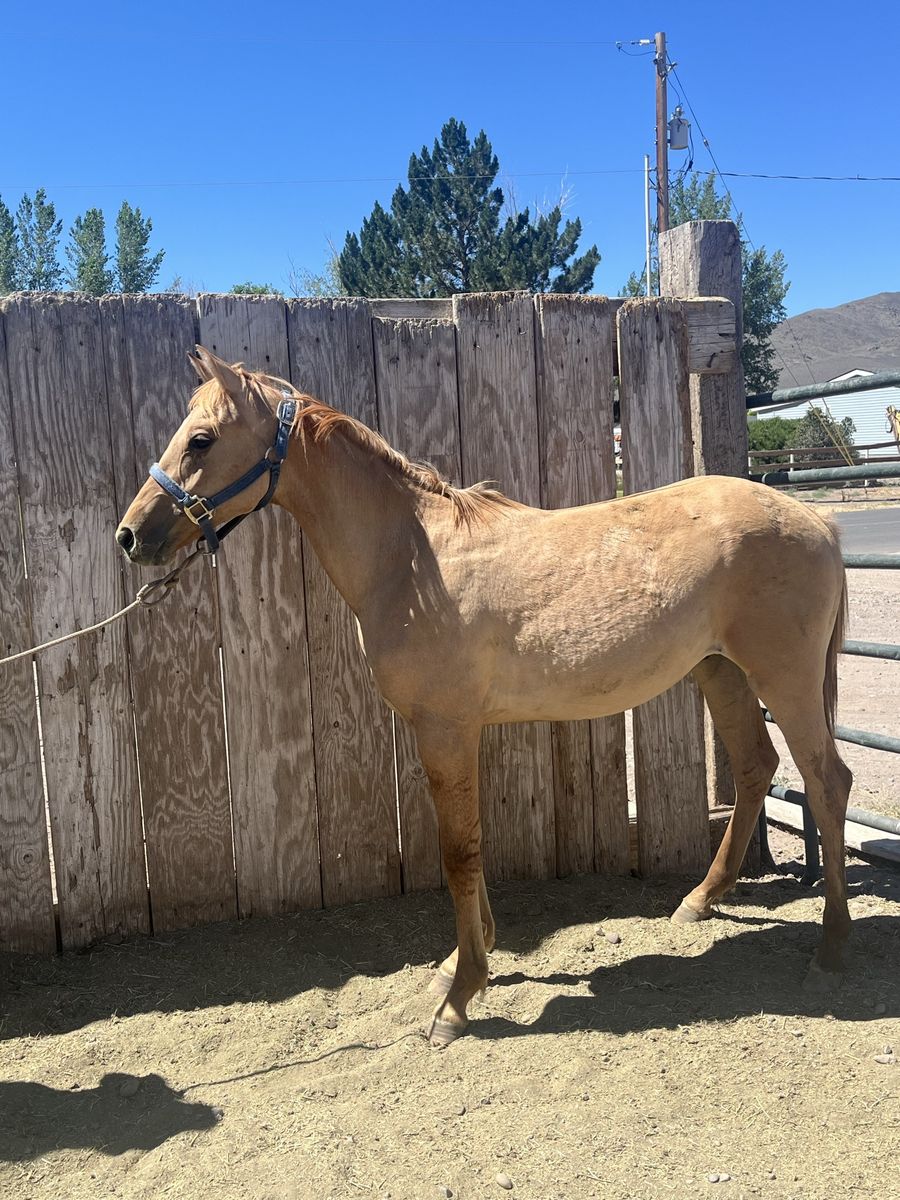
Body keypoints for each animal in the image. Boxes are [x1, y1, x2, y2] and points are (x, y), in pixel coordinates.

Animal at [116, 346, 852, 1045]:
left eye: (201, 439)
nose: (130, 536)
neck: (412, 558)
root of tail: (817, 523)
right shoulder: (456, 732)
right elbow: (472, 841)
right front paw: (465, 962)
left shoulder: (445, 728)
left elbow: (457, 851)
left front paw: (459, 997)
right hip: (719, 672)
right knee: (757, 767)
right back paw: (700, 899)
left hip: (782, 678)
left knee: (827, 780)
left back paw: (831, 950)